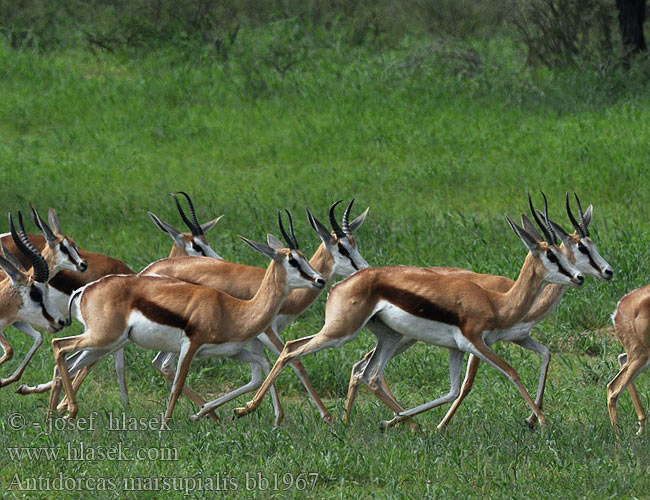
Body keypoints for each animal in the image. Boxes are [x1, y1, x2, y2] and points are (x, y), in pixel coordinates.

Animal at [235, 195, 584, 430]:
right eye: (552, 255)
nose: (579, 277)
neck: (497, 302)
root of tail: (340, 284)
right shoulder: (477, 342)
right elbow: (511, 372)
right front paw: (542, 421)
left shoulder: (457, 349)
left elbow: (453, 390)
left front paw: (399, 423)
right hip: (341, 333)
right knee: (293, 351)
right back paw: (248, 410)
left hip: (387, 337)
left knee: (367, 373)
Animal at [346, 191, 612, 430]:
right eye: (581, 248)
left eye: (593, 245)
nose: (608, 271)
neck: (505, 298)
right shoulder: (480, 342)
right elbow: (470, 384)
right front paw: (441, 425)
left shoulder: (518, 337)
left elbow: (546, 355)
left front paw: (531, 419)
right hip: (406, 336)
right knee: (365, 367)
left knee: (362, 366)